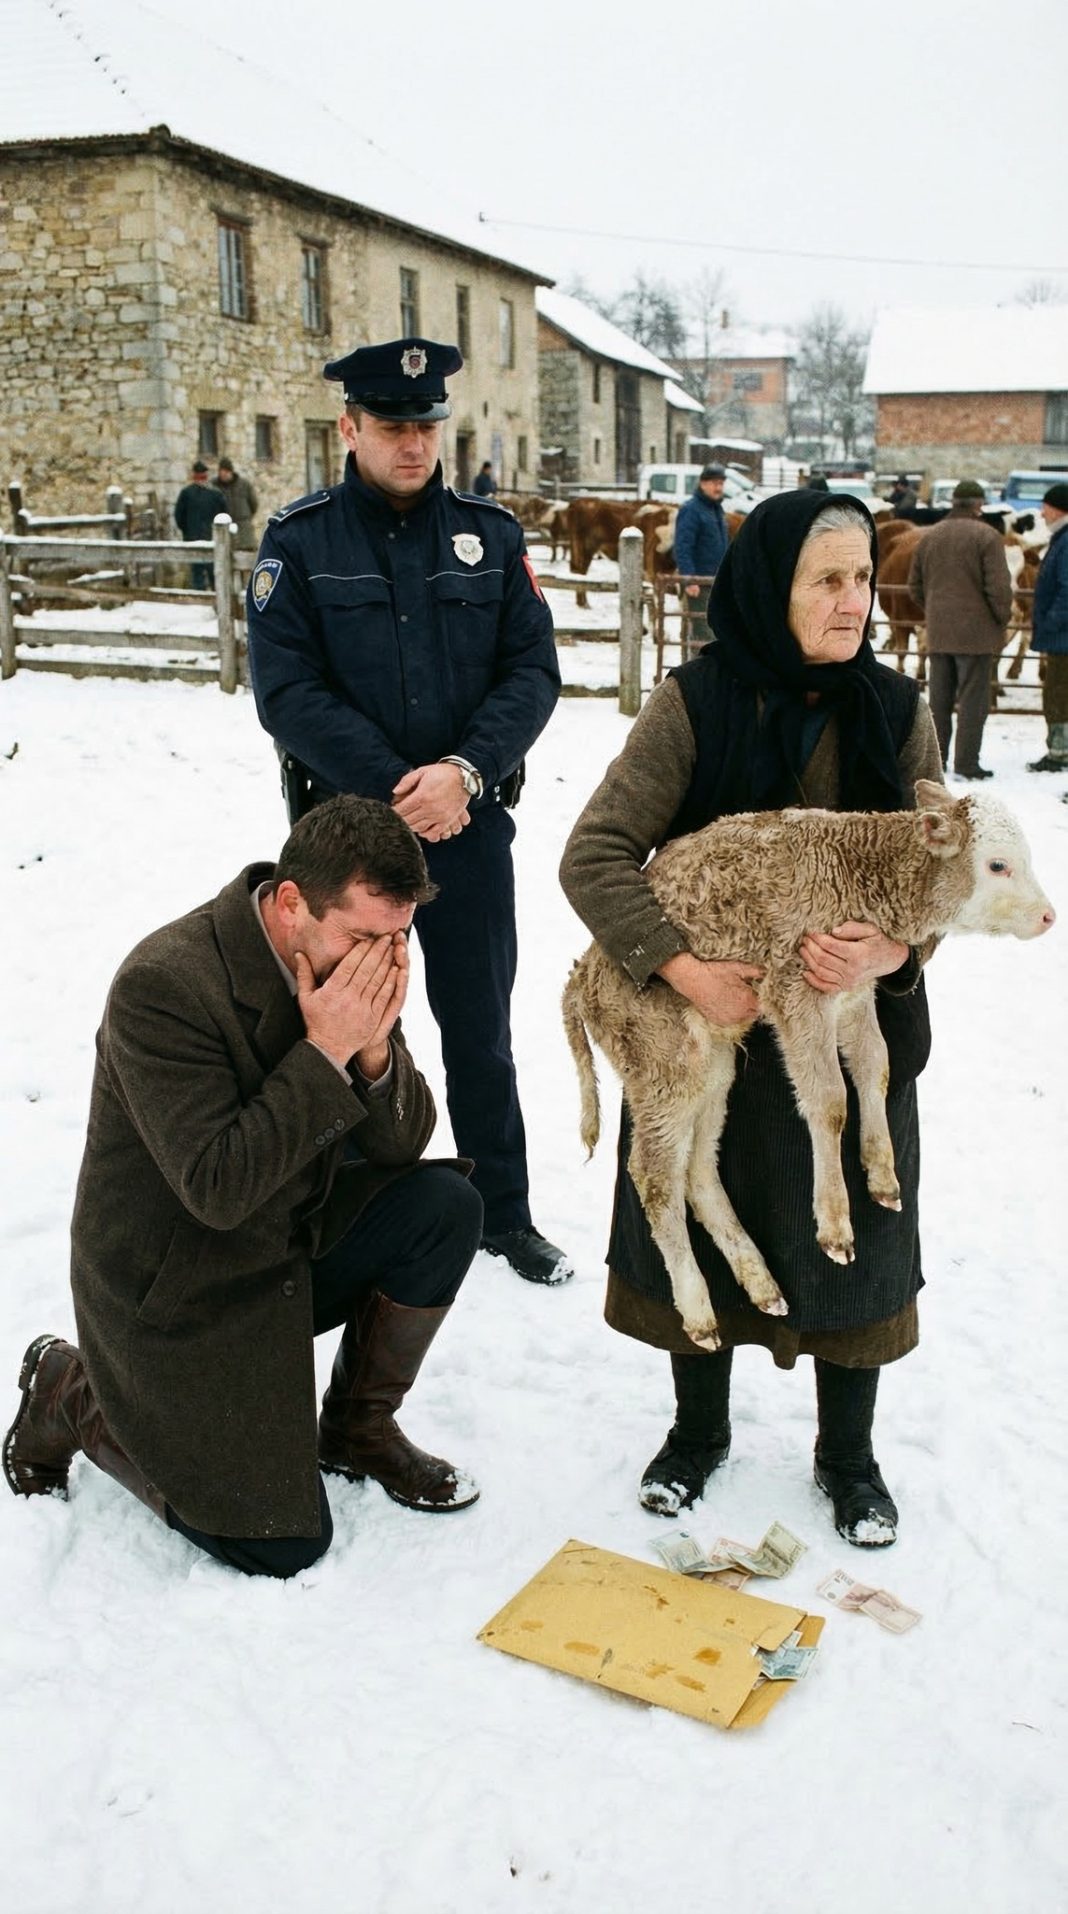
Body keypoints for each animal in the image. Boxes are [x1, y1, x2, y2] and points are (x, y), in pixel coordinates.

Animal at [562, 782, 1054, 1350]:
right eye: (998, 865)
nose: (1048, 916)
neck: (862, 873)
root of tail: (582, 977)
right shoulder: (798, 992)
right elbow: (830, 1101)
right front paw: (836, 1224)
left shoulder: (856, 988)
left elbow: (875, 1067)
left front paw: (882, 1173)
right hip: (665, 1065)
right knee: (655, 1176)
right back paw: (699, 1310)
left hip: (713, 1066)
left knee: (698, 1170)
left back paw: (760, 1282)